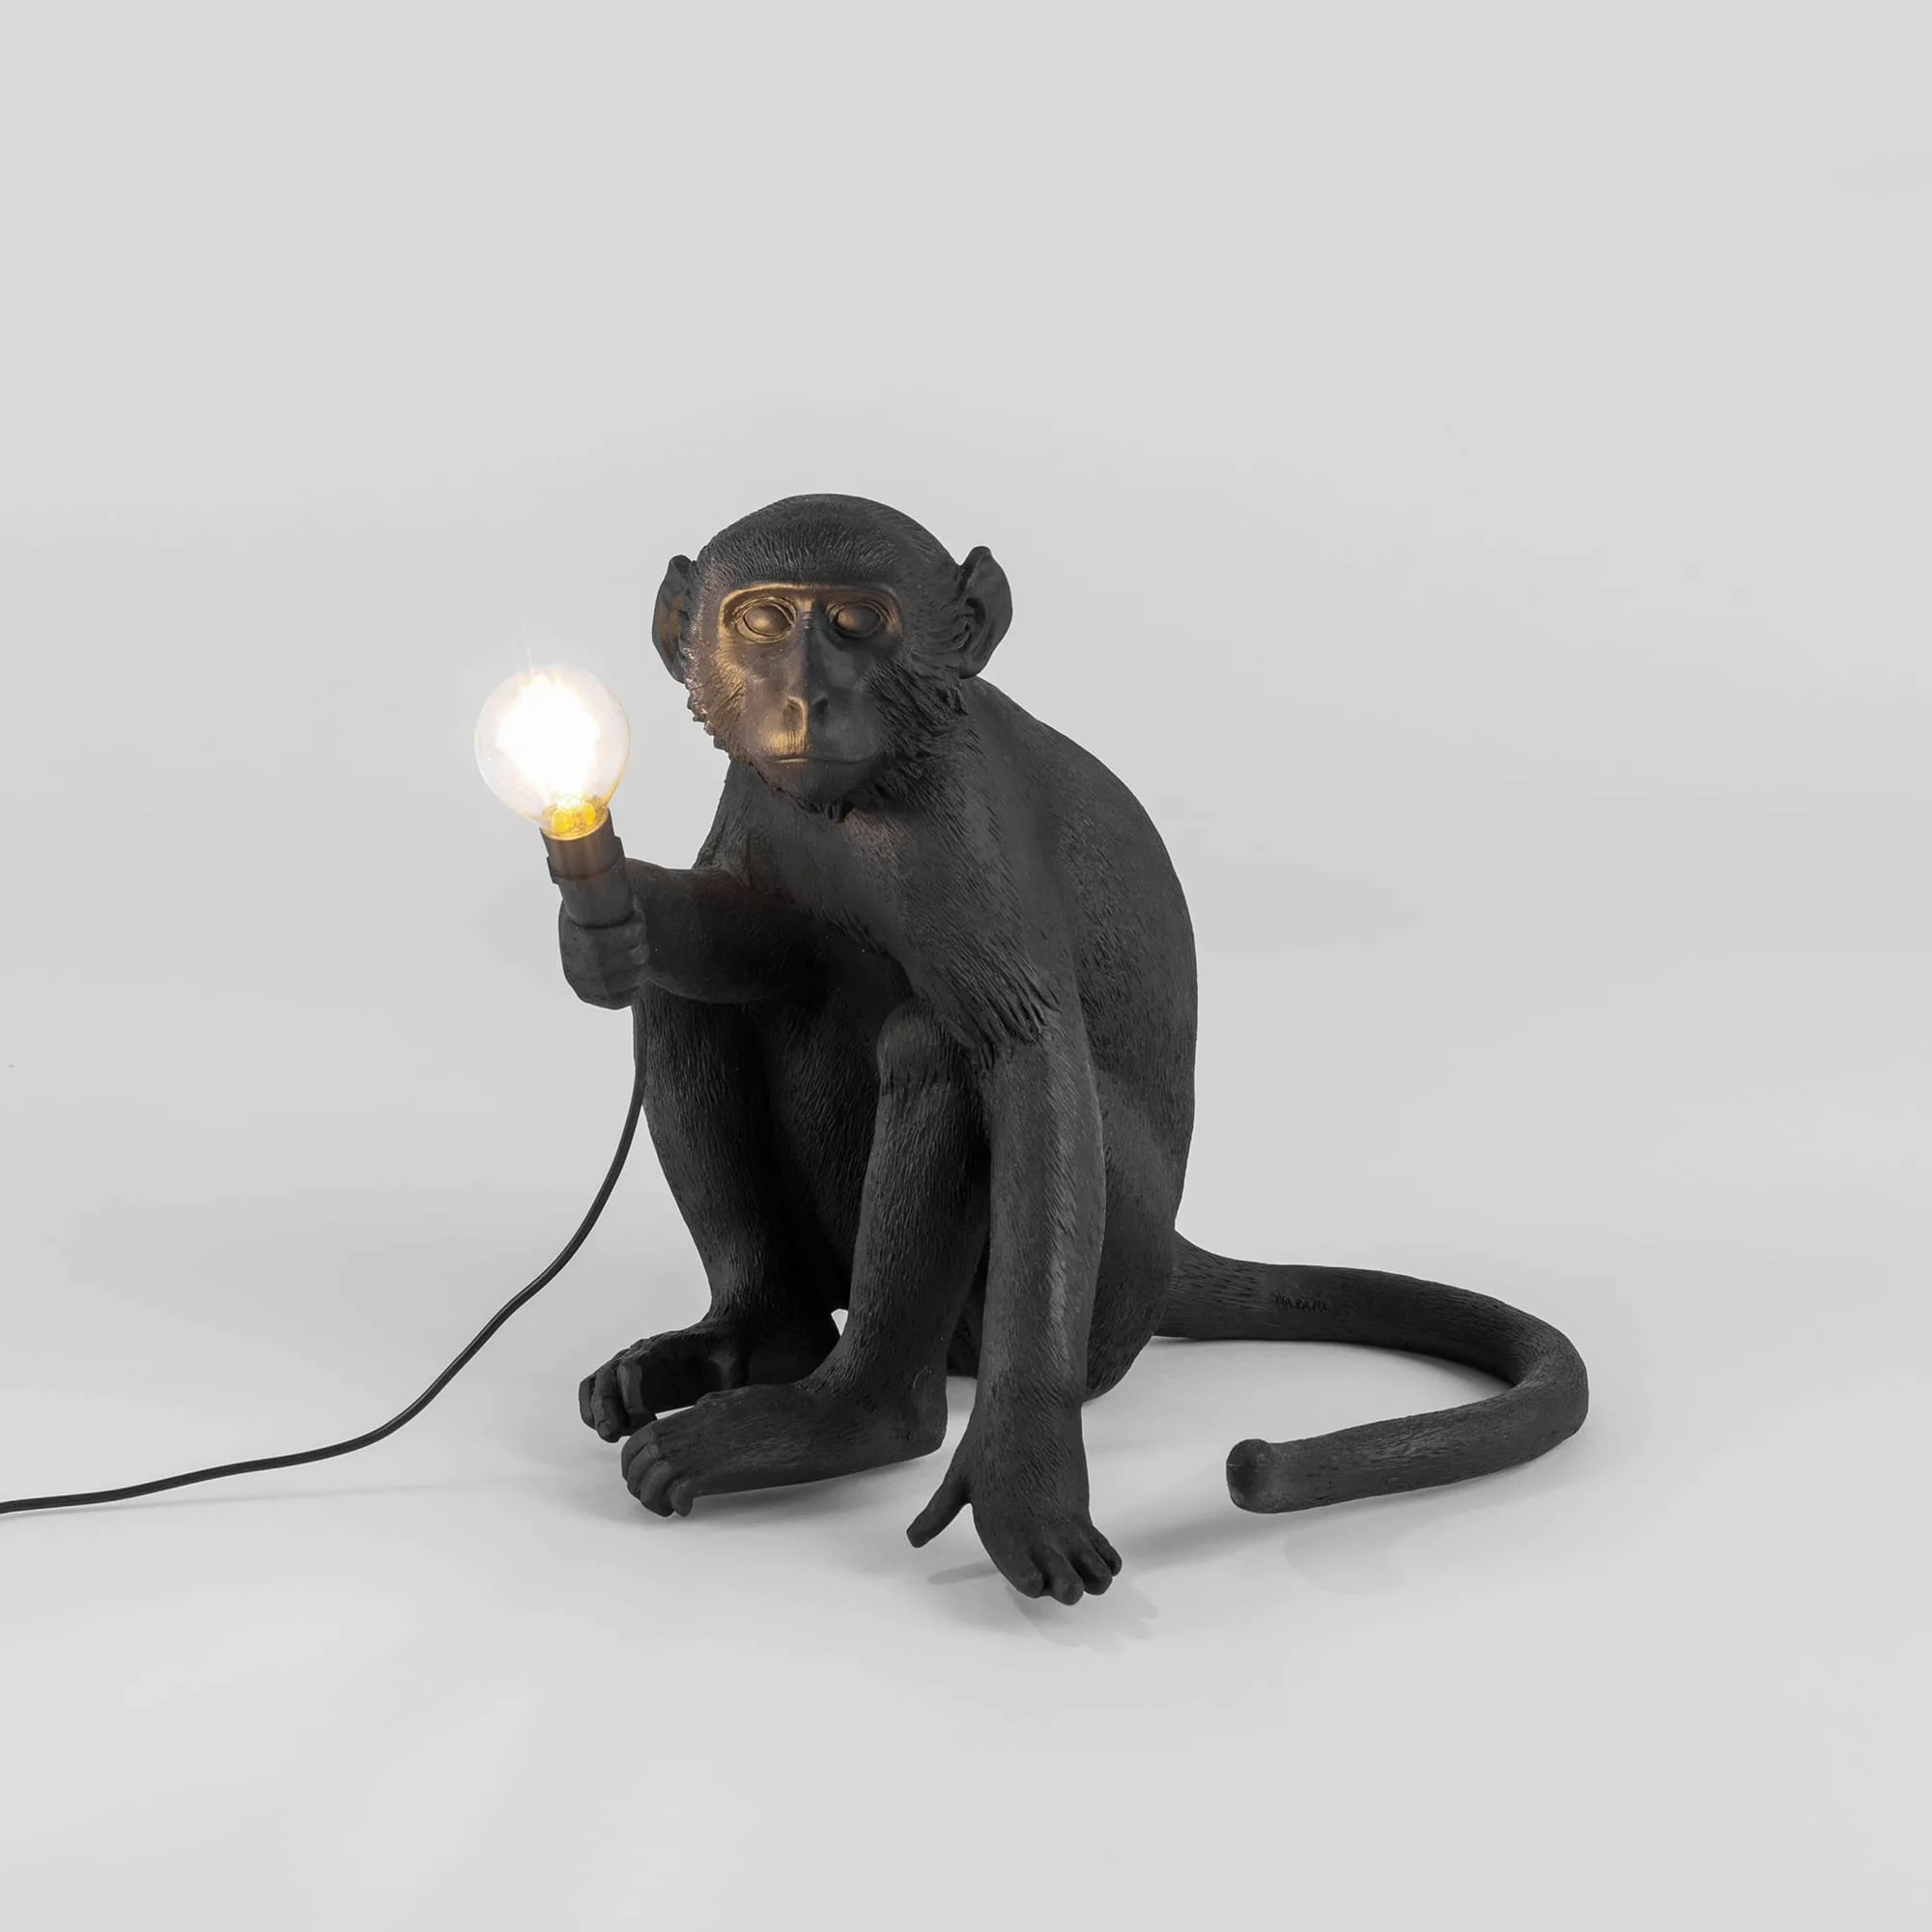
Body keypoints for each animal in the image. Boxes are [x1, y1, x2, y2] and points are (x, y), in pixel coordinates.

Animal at [558, 495, 1588, 1604]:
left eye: (856, 622)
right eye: (761, 621)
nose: (804, 700)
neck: (869, 787)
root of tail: (1171, 1250)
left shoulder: (956, 825)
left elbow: (1023, 1057)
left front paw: (1023, 1468)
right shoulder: (759, 792)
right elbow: (750, 939)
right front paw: (622, 914)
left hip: (1110, 1281)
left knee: (935, 1047)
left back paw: (858, 1415)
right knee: (690, 1003)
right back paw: (759, 1335)